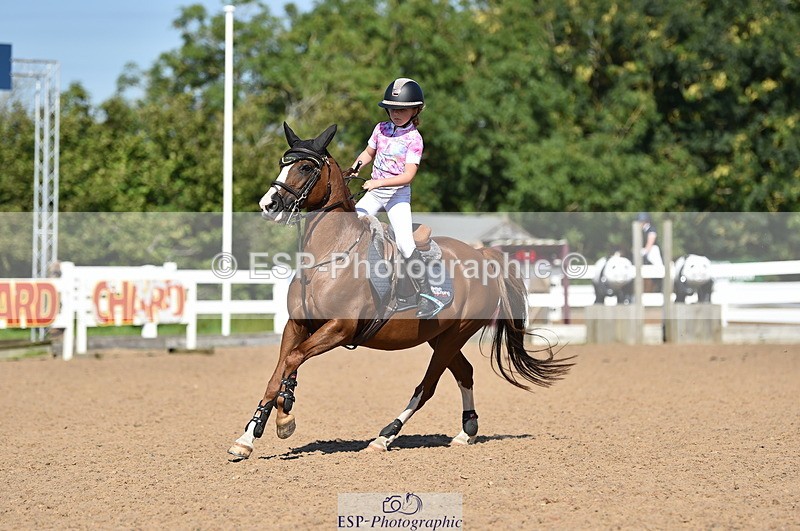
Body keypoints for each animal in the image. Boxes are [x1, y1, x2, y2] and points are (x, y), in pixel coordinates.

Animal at [227, 123, 573, 460]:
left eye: (305, 166)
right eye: (282, 164)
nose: (268, 205)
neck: (329, 257)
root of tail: (484, 256)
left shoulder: (339, 328)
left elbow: (294, 358)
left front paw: (285, 418)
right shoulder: (296, 324)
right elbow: (279, 373)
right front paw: (247, 438)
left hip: (455, 335)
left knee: (427, 387)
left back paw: (385, 436)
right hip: (441, 336)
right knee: (465, 372)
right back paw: (466, 431)